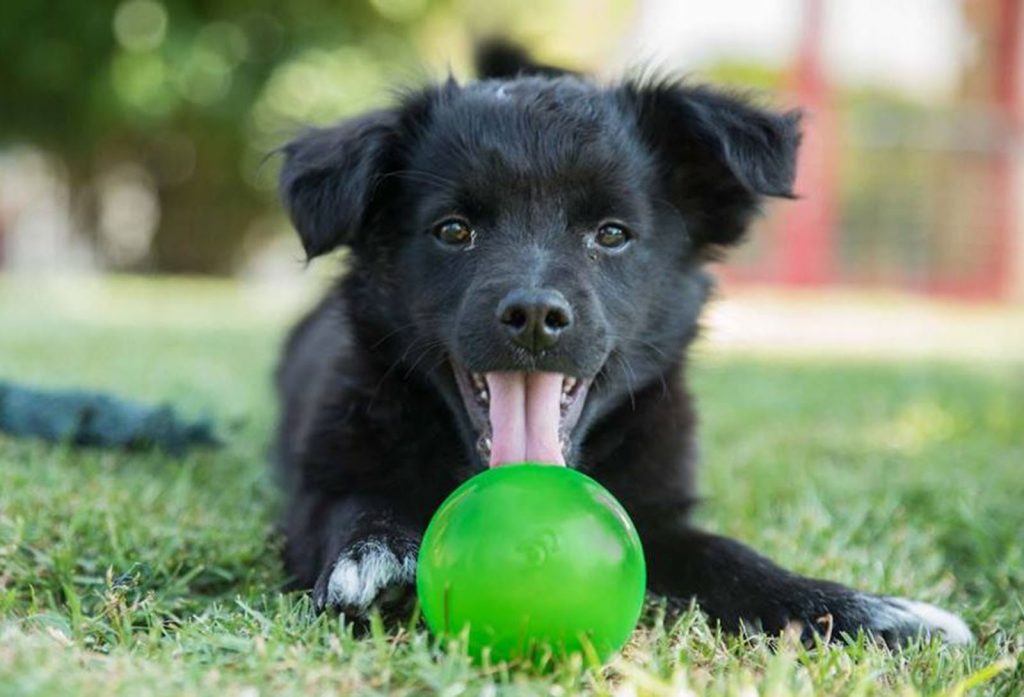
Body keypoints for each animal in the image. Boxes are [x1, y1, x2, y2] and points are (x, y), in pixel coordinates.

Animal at [270, 42, 966, 642]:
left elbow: (730, 556)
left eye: (611, 234)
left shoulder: (659, 515)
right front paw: (378, 554)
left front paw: (871, 612)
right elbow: (353, 507)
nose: (533, 314)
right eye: (453, 230)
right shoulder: (325, 471)